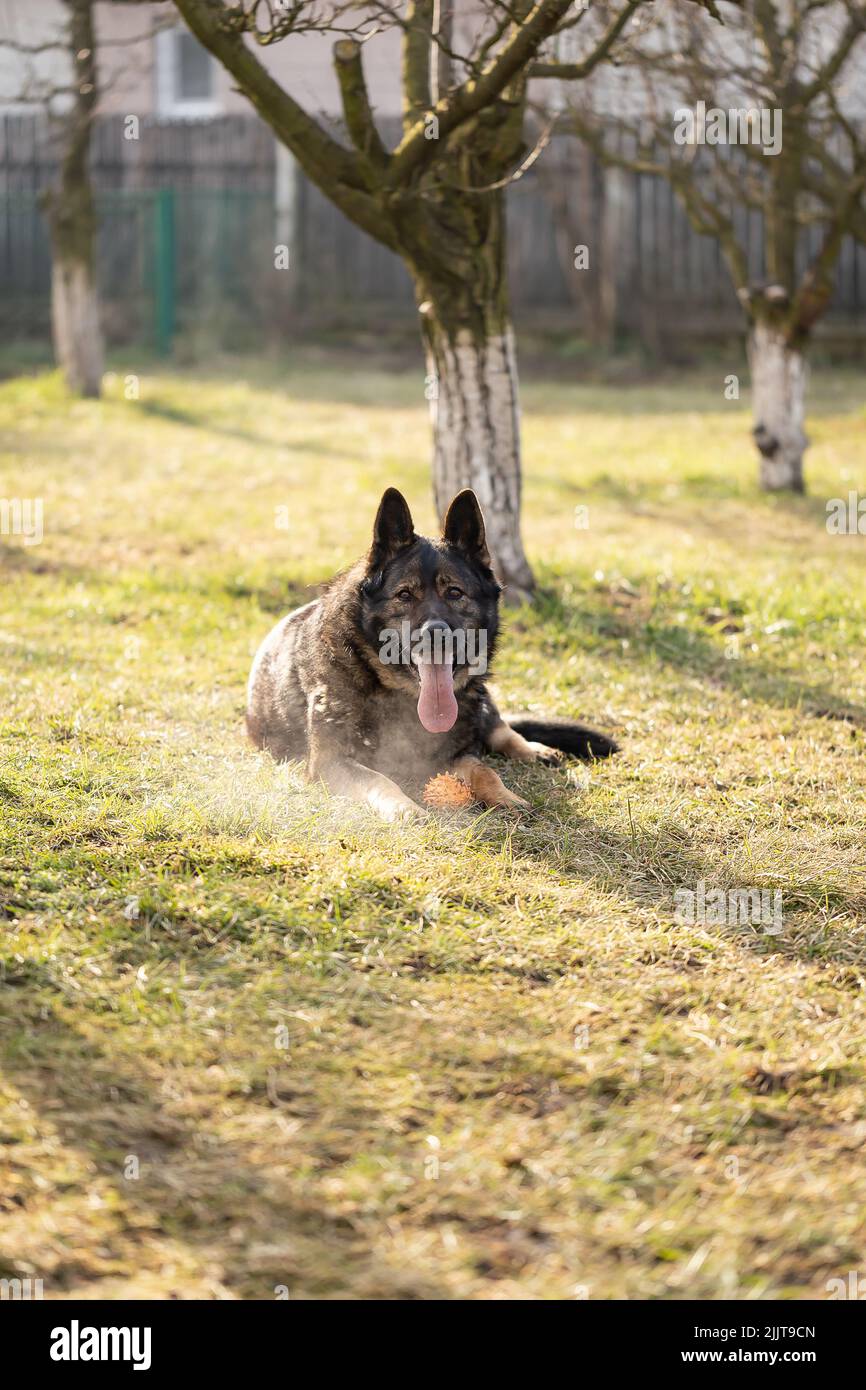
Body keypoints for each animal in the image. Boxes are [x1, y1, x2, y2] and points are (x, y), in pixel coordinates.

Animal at [247, 489, 619, 817]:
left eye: (454, 593)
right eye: (404, 595)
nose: (436, 634)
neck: (401, 696)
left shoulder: (458, 753)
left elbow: (484, 771)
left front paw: (505, 796)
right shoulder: (331, 762)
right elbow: (378, 780)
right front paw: (403, 807)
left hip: (479, 700)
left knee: (499, 728)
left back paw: (534, 749)